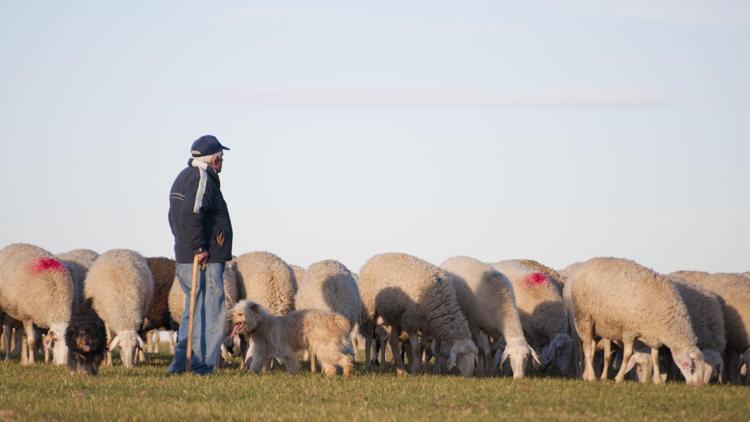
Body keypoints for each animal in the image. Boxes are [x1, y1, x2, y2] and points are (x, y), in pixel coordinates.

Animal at [560, 258, 708, 386]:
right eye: (690, 364)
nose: (698, 384)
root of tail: (582, 267)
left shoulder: (653, 334)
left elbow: (655, 357)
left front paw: (658, 380)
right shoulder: (629, 332)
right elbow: (627, 355)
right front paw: (619, 378)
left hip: (595, 327)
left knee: (590, 348)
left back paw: (586, 375)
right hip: (584, 319)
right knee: (585, 348)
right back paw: (590, 376)